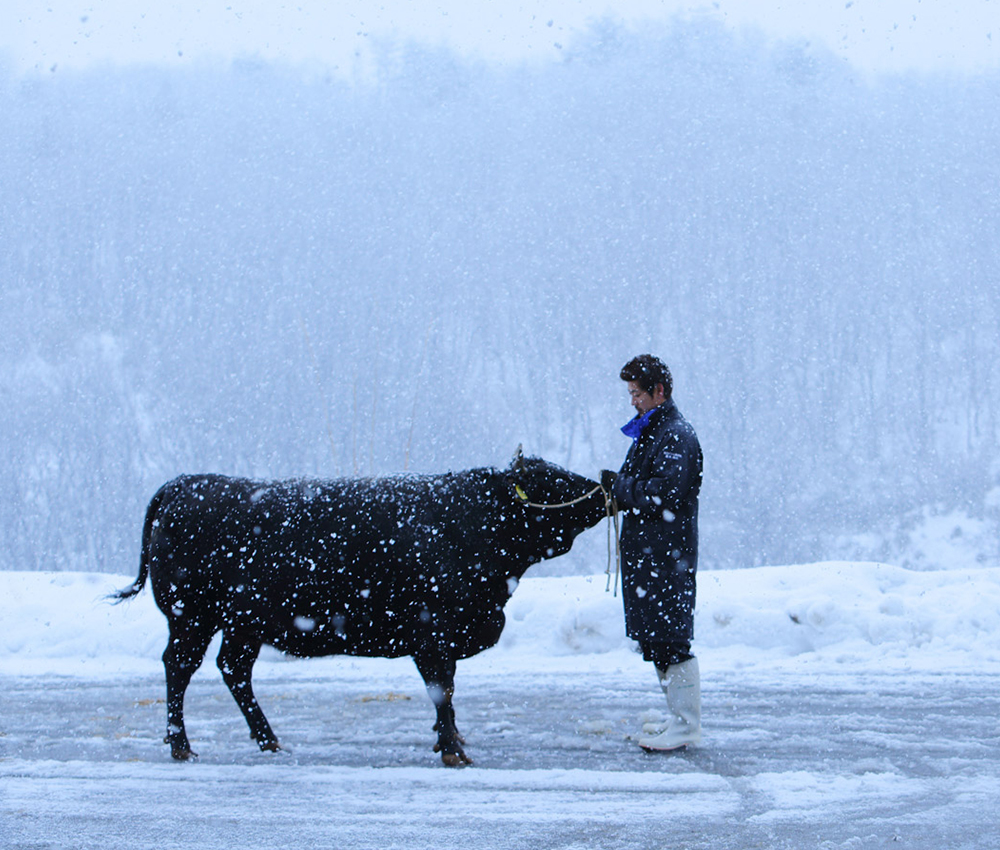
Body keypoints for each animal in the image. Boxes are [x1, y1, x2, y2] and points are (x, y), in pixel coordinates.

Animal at [113, 454, 604, 764]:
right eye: (551, 482)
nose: (602, 485)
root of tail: (187, 482)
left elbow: (447, 693)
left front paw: (448, 741)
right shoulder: (431, 634)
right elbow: (442, 691)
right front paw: (453, 750)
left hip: (242, 624)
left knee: (233, 669)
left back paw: (270, 741)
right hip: (191, 616)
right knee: (179, 667)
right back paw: (181, 745)